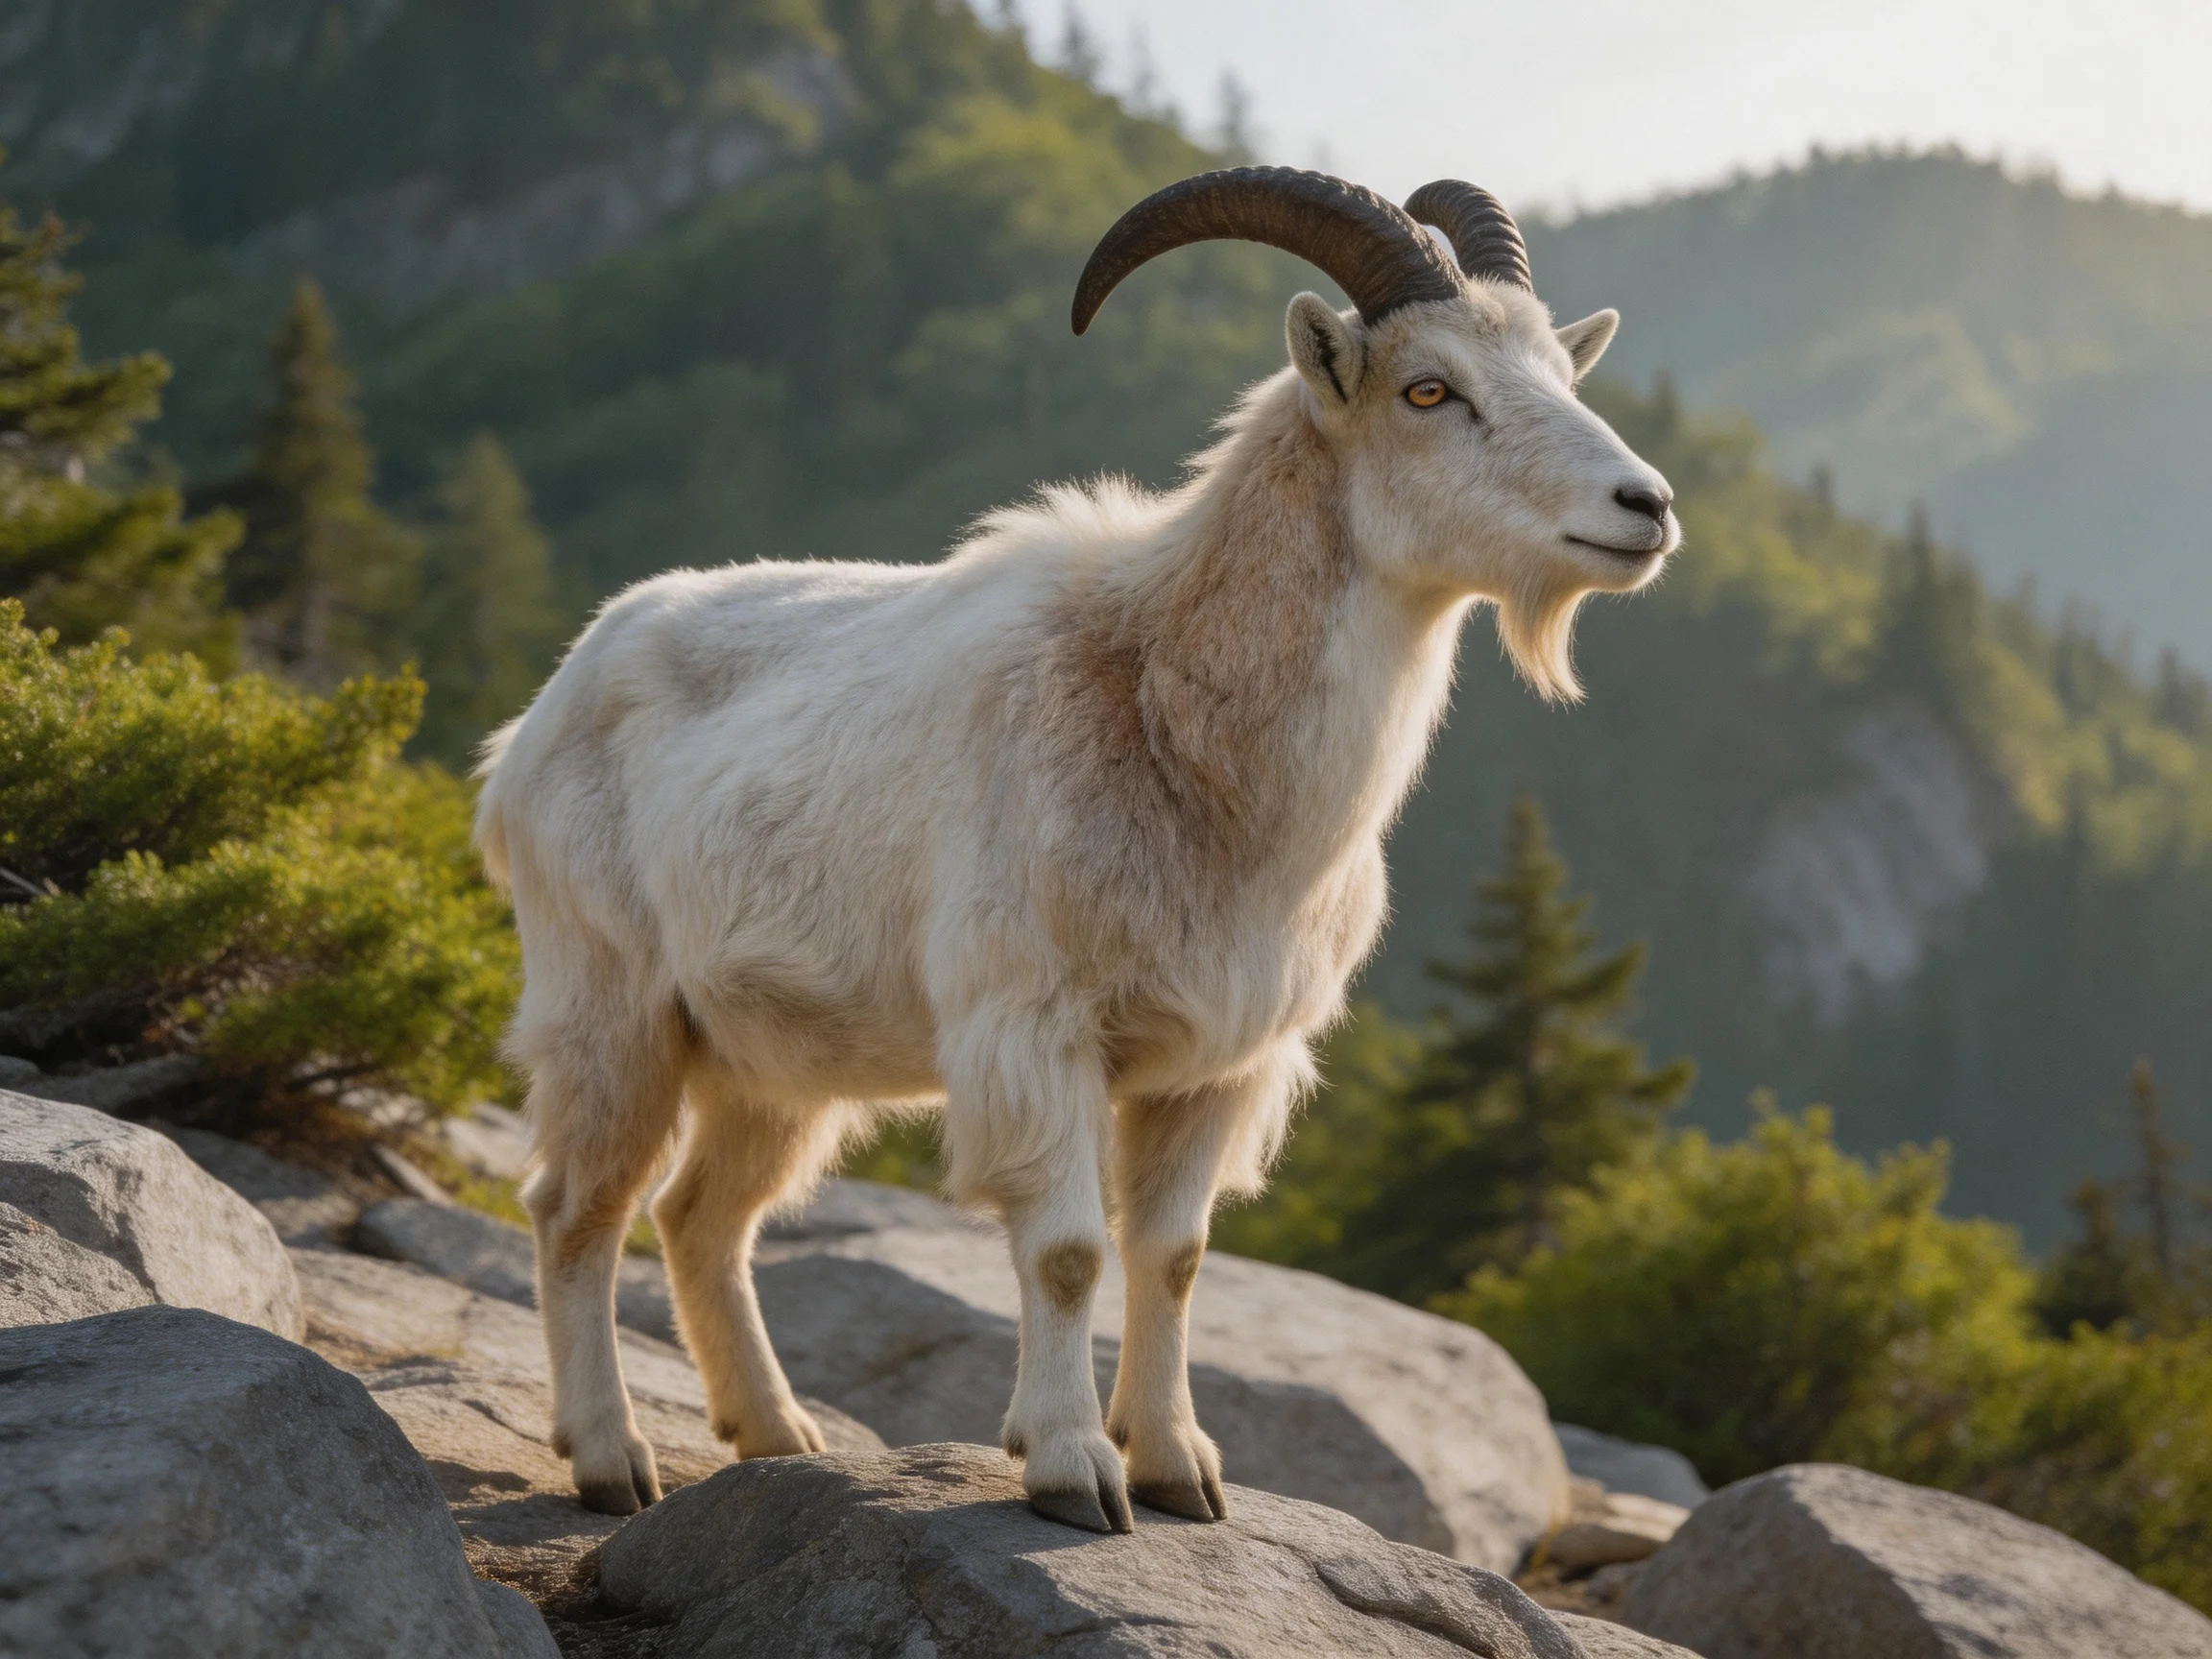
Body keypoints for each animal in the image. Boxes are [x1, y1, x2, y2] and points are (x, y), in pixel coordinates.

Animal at [475, 168, 1679, 1532]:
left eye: (1562, 371)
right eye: (1429, 389)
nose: (1645, 508)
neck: (1173, 720)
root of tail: (531, 728)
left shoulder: (1213, 1065)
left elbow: (1176, 1253)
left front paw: (1178, 1468)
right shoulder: (1035, 1024)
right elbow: (1064, 1250)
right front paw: (1071, 1472)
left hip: (767, 1057)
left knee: (701, 1218)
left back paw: (779, 1438)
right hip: (613, 1010)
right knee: (576, 1209)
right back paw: (610, 1459)